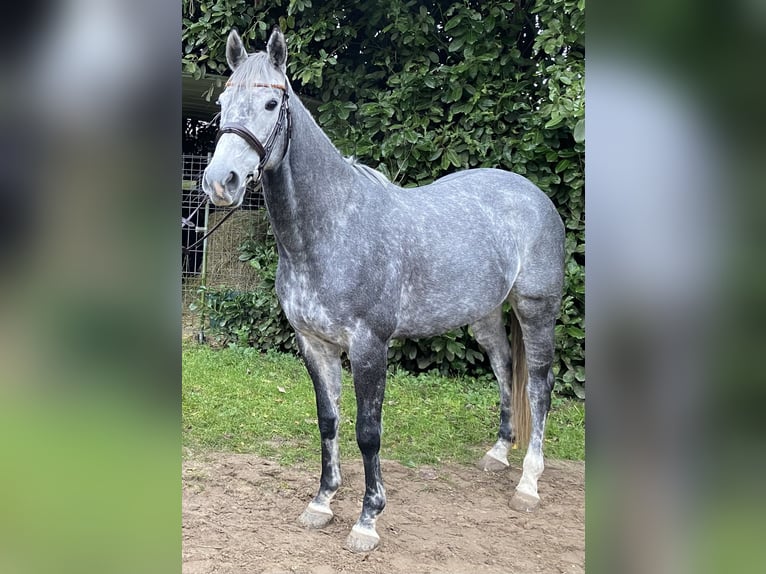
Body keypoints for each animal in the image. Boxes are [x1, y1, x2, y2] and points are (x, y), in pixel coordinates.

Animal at [202, 27, 565, 553]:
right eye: (223, 102)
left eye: (271, 103)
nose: (220, 182)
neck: (332, 228)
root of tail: (533, 195)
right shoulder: (315, 344)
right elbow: (328, 421)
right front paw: (321, 502)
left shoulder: (369, 346)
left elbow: (367, 431)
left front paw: (367, 520)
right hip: (483, 315)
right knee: (503, 366)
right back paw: (498, 454)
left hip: (537, 309)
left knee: (538, 383)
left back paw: (528, 483)